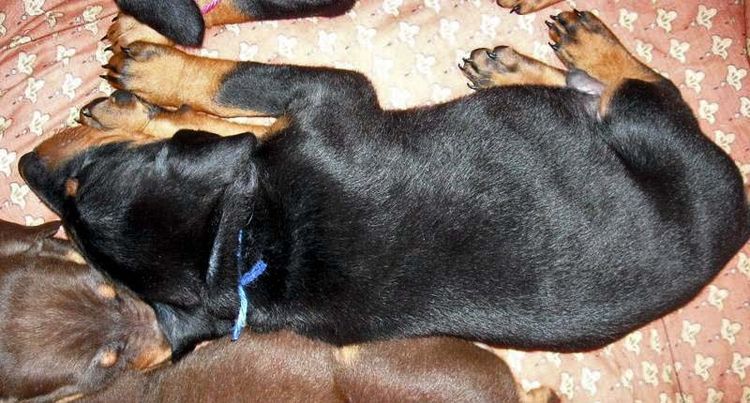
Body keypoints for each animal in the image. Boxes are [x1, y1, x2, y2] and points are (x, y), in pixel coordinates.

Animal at [20, 12, 748, 358]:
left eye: (82, 185)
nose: (25, 163)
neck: (247, 242)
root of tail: (738, 219)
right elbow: (228, 108)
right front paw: (139, 107)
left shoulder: (326, 95)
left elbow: (230, 83)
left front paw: (148, 75)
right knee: (608, 90)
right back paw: (529, 64)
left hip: (650, 132)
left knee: (640, 82)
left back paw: (579, 44)